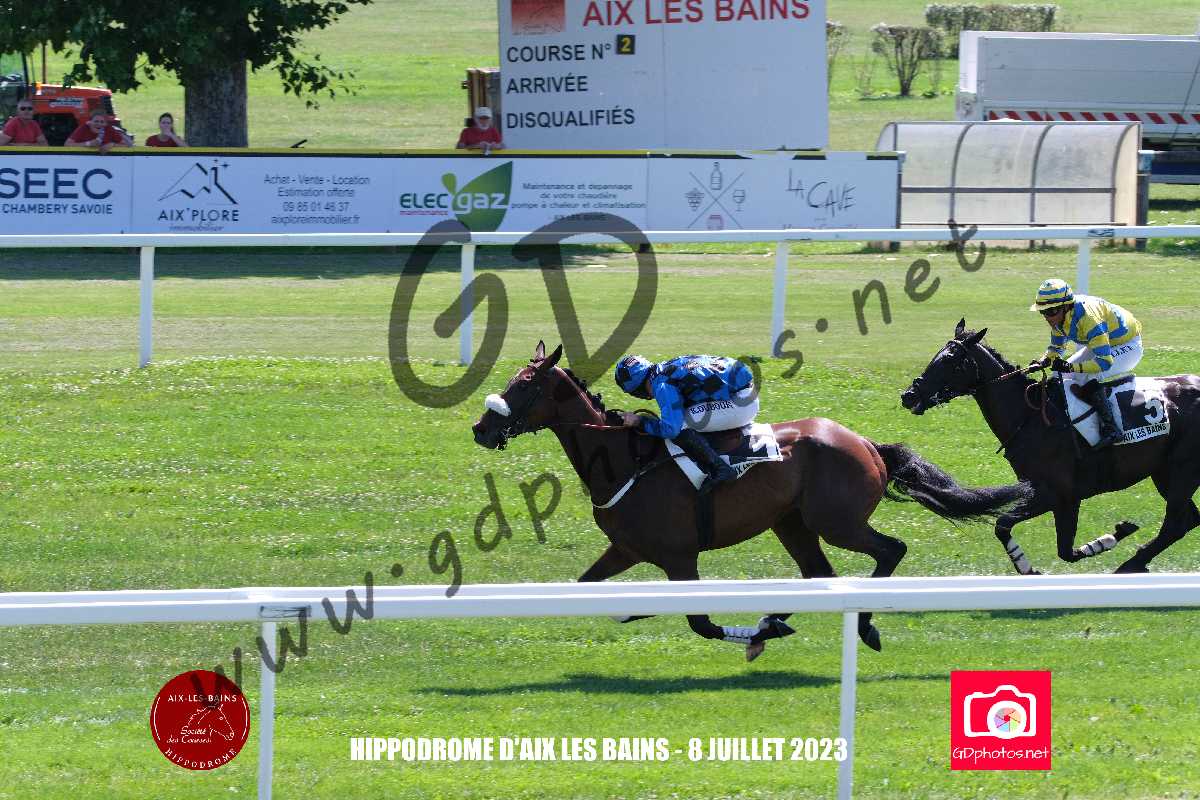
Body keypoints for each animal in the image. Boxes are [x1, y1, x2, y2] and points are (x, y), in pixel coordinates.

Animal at [471, 341, 1031, 657]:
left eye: (523, 385)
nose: (481, 428)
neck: (624, 460)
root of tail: (866, 443)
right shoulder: (626, 549)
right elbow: (588, 588)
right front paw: (630, 612)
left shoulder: (679, 557)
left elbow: (700, 623)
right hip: (793, 523)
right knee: (819, 575)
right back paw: (773, 620)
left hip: (835, 521)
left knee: (890, 550)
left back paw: (855, 625)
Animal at [900, 319, 1200, 574]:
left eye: (950, 360)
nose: (909, 395)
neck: (1030, 417)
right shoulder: (1043, 492)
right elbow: (1034, 539)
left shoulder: (1059, 494)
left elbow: (1024, 532)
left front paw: (1110, 537)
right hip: (1164, 472)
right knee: (1187, 520)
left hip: (1183, 469)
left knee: (1175, 523)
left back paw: (1130, 565)